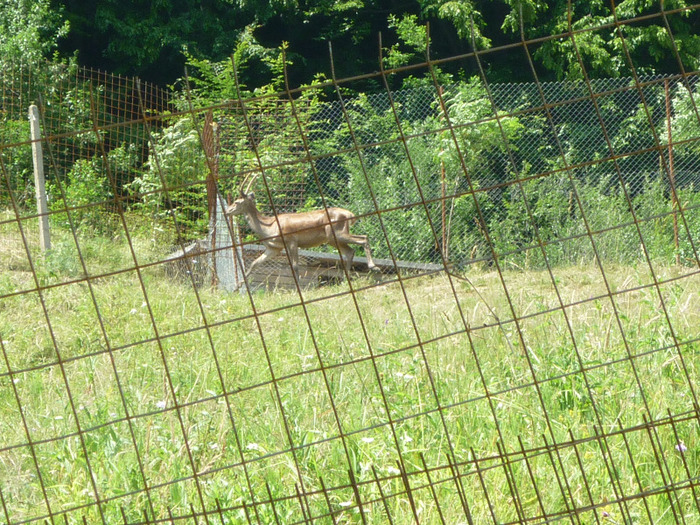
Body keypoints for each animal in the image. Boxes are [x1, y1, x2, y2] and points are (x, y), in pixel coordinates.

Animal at [226, 174, 378, 282]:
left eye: (237, 202)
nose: (227, 211)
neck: (269, 227)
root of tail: (350, 215)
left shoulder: (292, 241)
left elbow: (295, 266)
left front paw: (299, 287)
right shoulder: (274, 248)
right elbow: (254, 264)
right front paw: (239, 287)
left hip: (337, 232)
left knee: (363, 238)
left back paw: (373, 266)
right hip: (333, 238)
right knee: (350, 251)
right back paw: (346, 280)